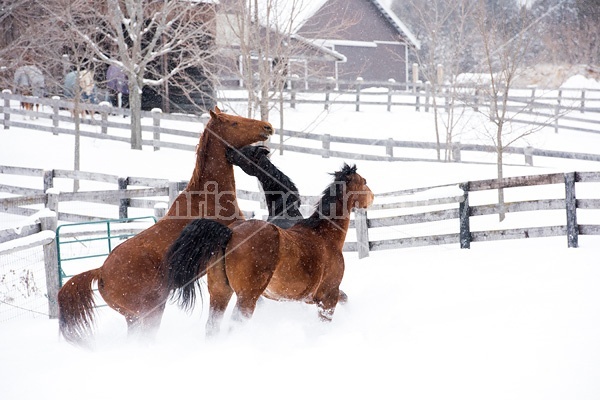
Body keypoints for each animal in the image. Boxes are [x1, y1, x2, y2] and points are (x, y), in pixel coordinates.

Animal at [57, 107, 274, 346]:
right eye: (233, 123)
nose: (267, 127)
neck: (209, 198)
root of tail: (101, 272)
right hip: (150, 311)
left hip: (136, 317)